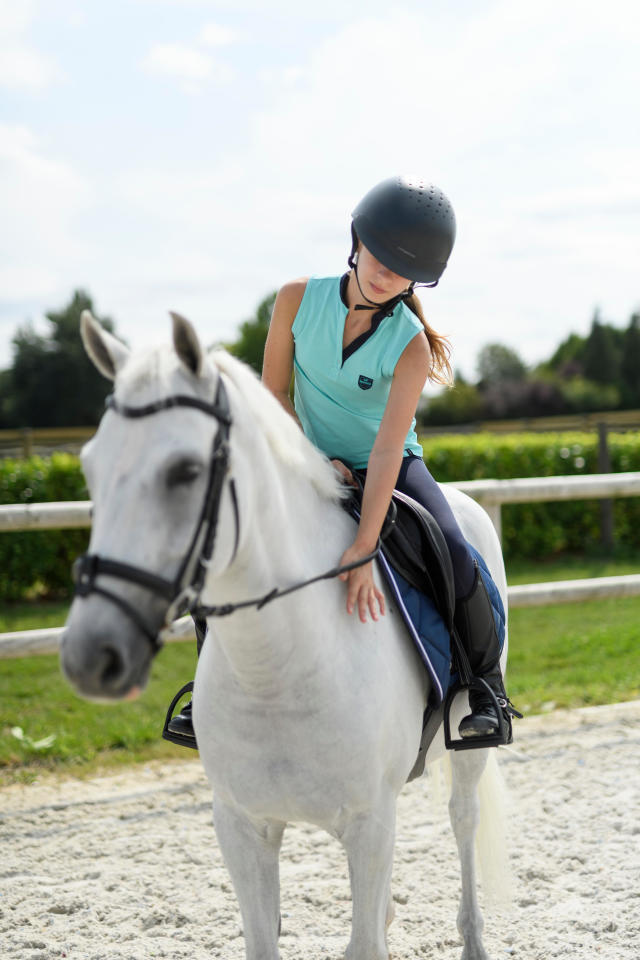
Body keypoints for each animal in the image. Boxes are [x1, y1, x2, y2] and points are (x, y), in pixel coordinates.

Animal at [61, 312, 510, 960]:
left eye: (185, 471)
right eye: (90, 468)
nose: (89, 656)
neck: (277, 663)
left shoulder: (368, 823)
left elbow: (364, 943)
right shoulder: (242, 826)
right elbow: (267, 938)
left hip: (466, 750)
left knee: (463, 819)